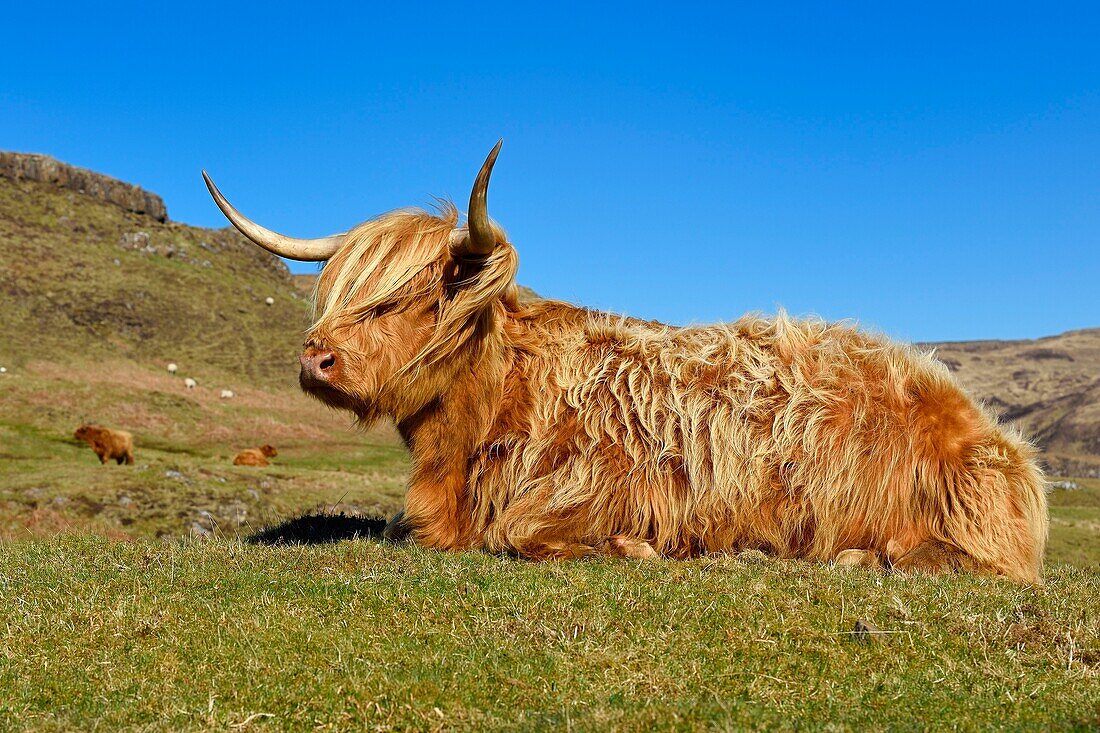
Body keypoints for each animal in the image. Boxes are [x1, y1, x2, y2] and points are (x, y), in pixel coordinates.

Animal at [200, 139, 1047, 581]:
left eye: (406, 298)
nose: (316, 359)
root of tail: (977, 417)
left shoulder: (599, 482)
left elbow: (525, 532)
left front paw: (636, 546)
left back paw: (861, 555)